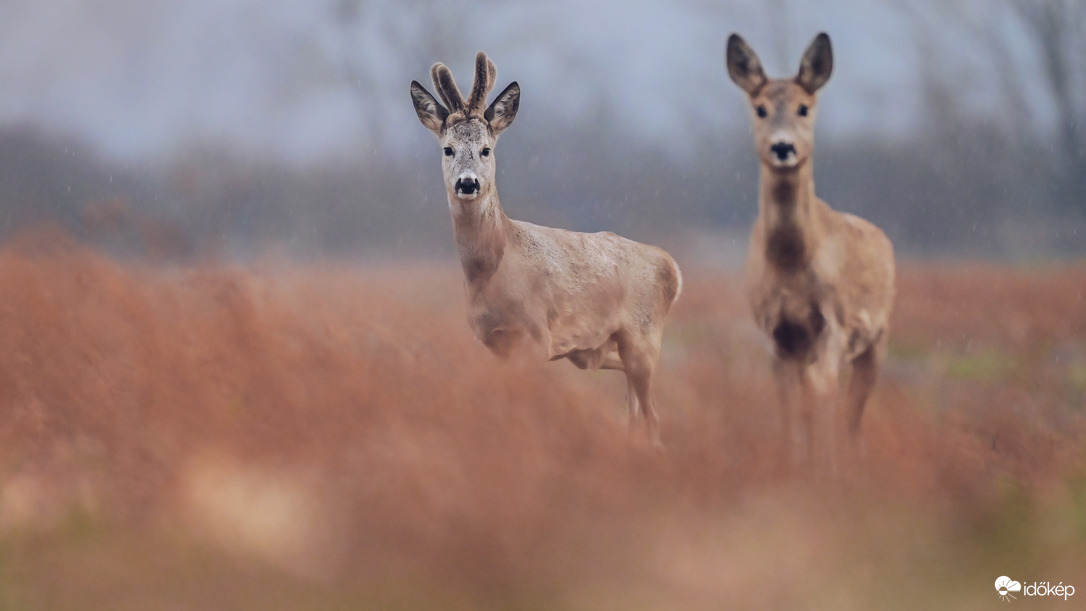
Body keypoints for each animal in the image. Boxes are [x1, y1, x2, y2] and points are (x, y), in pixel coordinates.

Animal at [410, 52, 682, 444]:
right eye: (448, 149)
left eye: (486, 149)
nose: (467, 183)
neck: (492, 271)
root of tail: (671, 268)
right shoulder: (494, 343)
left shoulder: (537, 336)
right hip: (596, 348)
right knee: (634, 400)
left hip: (644, 336)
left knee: (652, 414)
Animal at [725, 33, 894, 471]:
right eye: (760, 108)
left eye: (804, 107)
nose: (783, 147)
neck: (792, 264)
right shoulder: (775, 330)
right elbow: (788, 400)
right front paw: (791, 464)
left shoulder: (834, 321)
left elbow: (824, 390)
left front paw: (826, 468)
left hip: (878, 336)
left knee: (854, 404)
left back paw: (850, 460)